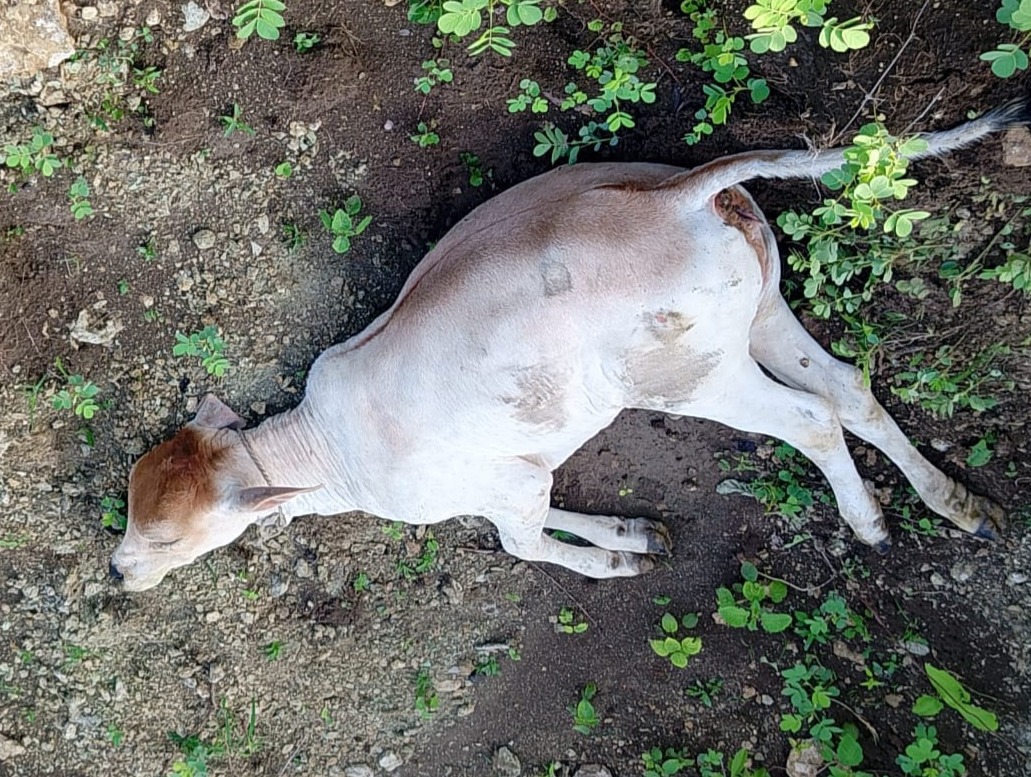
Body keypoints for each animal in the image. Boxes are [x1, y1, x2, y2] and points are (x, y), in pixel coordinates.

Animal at [110, 103, 1026, 591]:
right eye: (129, 501)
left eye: (164, 538)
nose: (119, 570)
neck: (325, 455)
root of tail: (673, 196)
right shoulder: (517, 473)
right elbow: (554, 512)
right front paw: (634, 533)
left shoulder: (506, 488)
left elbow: (526, 543)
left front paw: (620, 560)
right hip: (764, 313)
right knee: (849, 389)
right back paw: (962, 506)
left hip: (692, 378)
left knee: (809, 418)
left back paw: (867, 521)